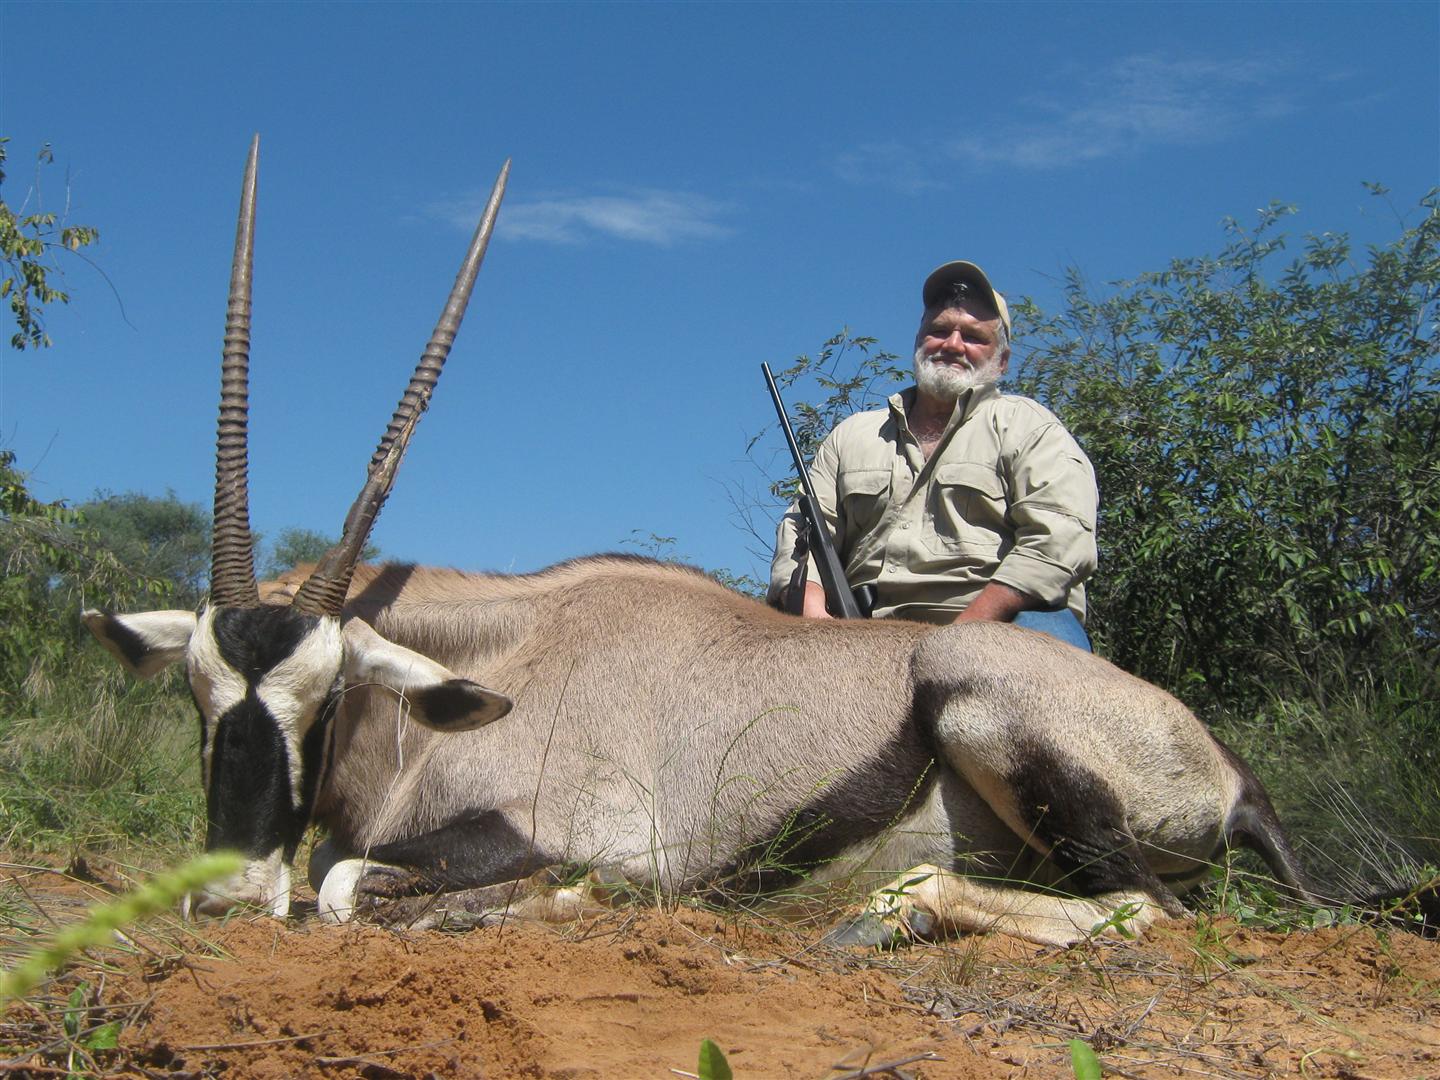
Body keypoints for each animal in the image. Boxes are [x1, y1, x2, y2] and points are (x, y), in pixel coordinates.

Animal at [83, 139, 1320, 947]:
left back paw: (889, 914)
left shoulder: (566, 836)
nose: (227, 897)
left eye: (327, 693)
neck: (497, 664)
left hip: (984, 705)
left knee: (1148, 912)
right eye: (196, 696)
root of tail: (1233, 773)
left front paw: (557, 903)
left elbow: (345, 885)